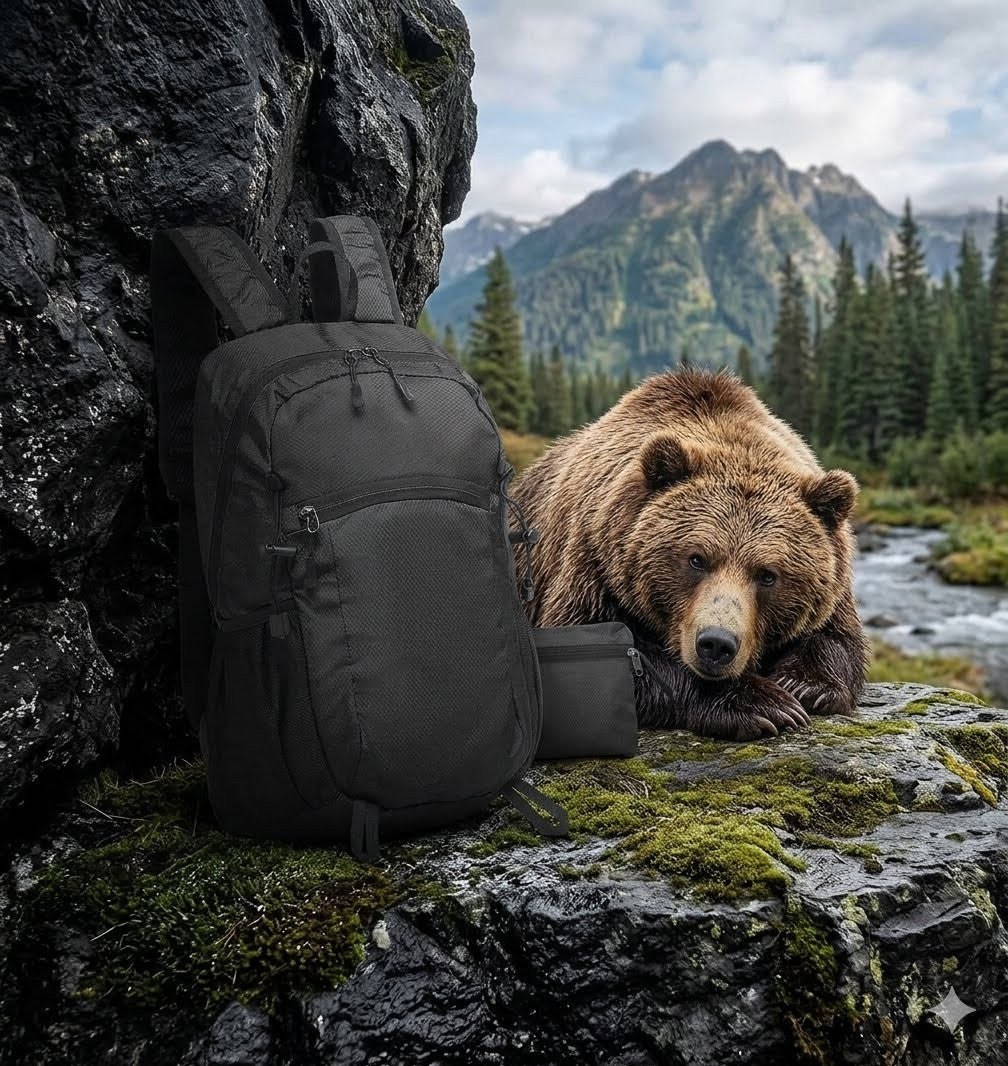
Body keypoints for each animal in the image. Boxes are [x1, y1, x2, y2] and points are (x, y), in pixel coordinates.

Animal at [511, 368, 868, 740]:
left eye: (768, 575)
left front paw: (806, 686)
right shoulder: (593, 563)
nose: (717, 644)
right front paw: (763, 703)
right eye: (697, 559)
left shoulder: (834, 586)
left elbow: (836, 637)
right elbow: (599, 654)